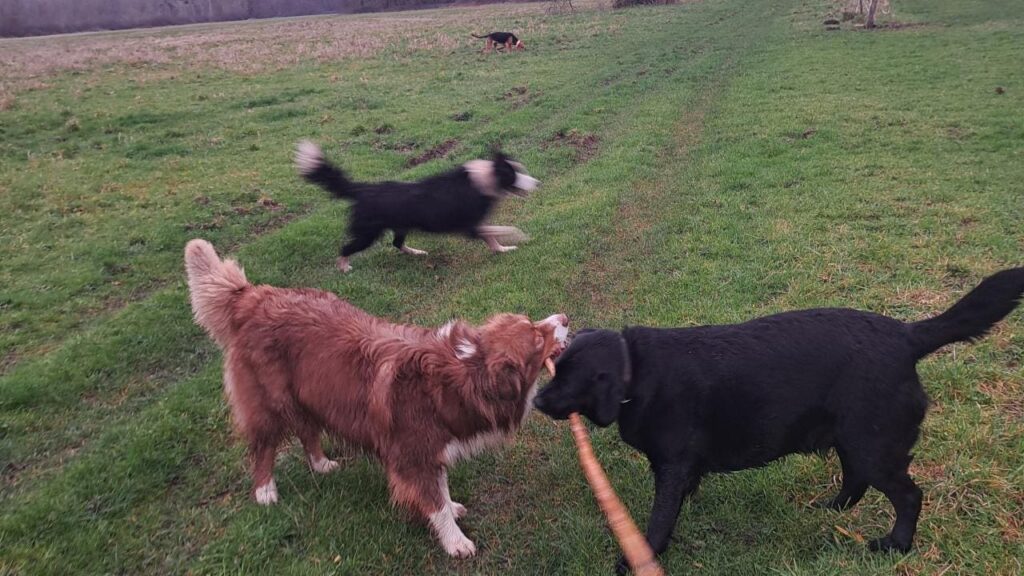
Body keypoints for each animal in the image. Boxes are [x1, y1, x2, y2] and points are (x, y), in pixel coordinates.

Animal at [184, 238, 569, 557]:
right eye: (537, 338)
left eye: (532, 322)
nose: (564, 316)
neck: (462, 374)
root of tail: (253, 295)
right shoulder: (412, 456)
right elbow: (435, 504)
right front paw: (455, 541)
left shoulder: (431, 450)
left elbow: (441, 491)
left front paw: (451, 508)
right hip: (270, 402)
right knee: (264, 445)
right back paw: (265, 491)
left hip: (308, 393)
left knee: (307, 430)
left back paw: (321, 465)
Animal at [294, 140, 536, 272]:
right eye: (514, 174)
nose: (537, 183)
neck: (485, 178)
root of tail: (363, 189)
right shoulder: (470, 226)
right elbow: (502, 229)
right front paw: (520, 237)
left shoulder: (478, 224)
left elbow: (492, 236)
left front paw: (503, 249)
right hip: (367, 234)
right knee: (345, 248)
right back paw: (344, 267)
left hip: (401, 227)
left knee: (396, 243)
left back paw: (416, 252)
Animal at [536, 268, 1024, 569]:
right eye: (555, 369)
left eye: (566, 380)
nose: (538, 401)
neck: (635, 370)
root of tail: (908, 335)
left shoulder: (672, 465)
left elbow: (658, 519)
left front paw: (640, 556)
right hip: (853, 437)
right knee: (855, 480)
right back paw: (832, 509)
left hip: (874, 444)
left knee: (908, 495)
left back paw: (895, 545)